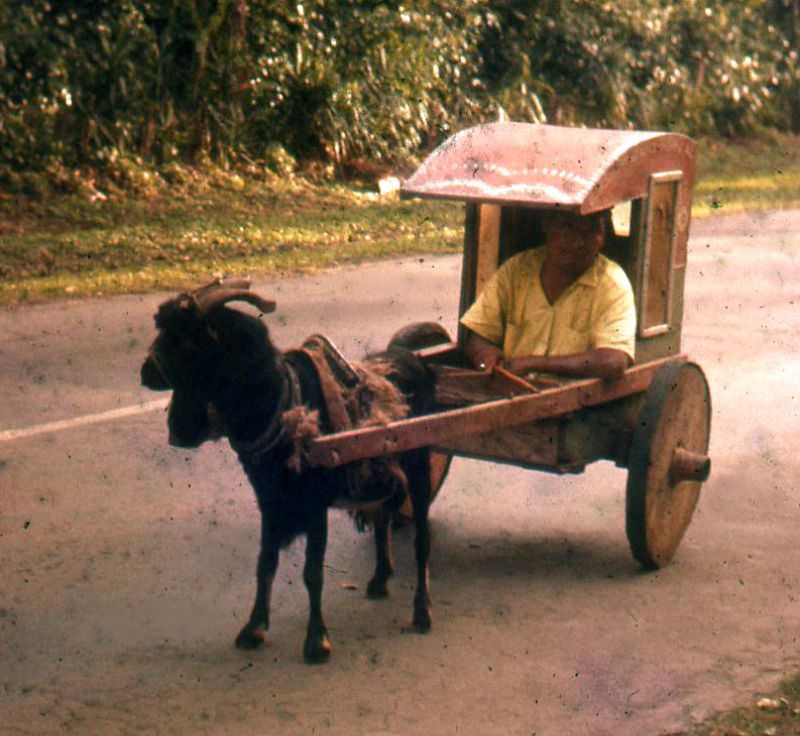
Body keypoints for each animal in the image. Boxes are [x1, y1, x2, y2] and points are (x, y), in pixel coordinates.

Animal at [141, 278, 440, 664]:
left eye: (189, 338)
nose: (146, 372)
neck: (281, 404)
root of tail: (415, 361)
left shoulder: (314, 505)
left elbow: (312, 572)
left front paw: (317, 641)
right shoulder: (270, 500)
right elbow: (264, 563)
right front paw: (253, 628)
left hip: (419, 464)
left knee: (421, 539)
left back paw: (422, 612)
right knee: (383, 515)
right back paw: (379, 579)